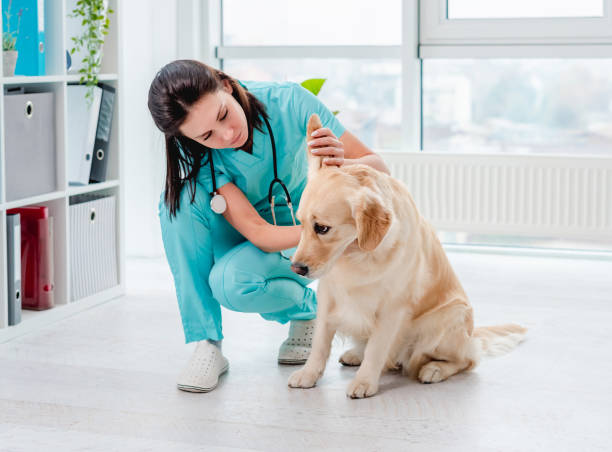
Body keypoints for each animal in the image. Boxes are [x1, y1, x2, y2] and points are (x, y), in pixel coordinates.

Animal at [288, 114, 524, 400]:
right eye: (300, 224)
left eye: (322, 228)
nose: (296, 268)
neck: (358, 254)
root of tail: (470, 334)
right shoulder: (329, 295)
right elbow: (320, 344)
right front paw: (308, 375)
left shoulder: (393, 307)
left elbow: (377, 348)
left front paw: (364, 382)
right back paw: (356, 354)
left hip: (445, 320)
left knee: (467, 359)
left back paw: (433, 370)